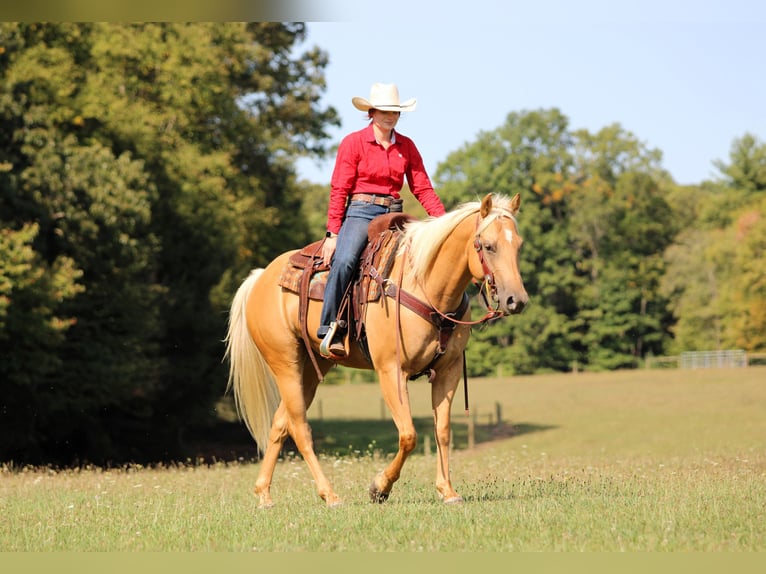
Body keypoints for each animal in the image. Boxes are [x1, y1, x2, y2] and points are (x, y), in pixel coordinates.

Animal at [224, 193, 528, 508]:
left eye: (518, 245)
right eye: (489, 246)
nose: (516, 300)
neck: (424, 285)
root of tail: (260, 277)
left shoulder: (449, 371)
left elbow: (442, 431)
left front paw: (447, 491)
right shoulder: (391, 371)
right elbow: (408, 435)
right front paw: (380, 487)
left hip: (309, 370)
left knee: (280, 424)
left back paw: (264, 494)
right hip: (285, 364)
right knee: (300, 428)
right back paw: (330, 495)